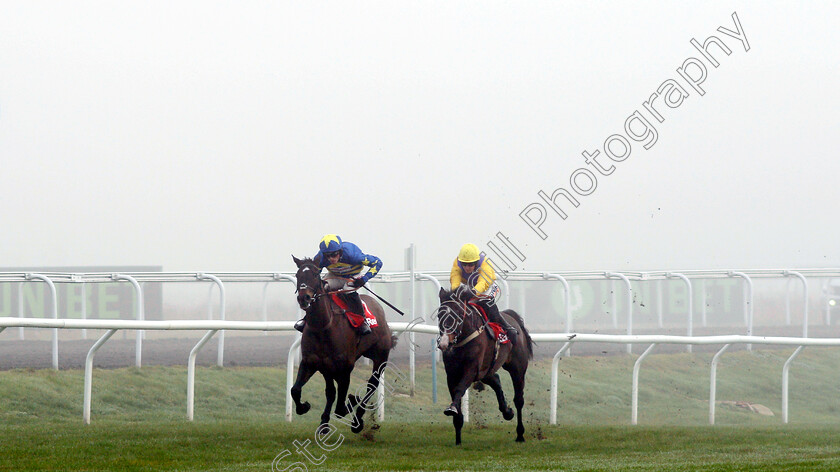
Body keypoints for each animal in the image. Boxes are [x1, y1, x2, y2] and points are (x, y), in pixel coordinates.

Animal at [290, 256, 396, 434]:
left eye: (315, 274)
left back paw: (358, 418)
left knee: (372, 384)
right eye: (298, 275)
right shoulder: (314, 363)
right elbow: (298, 390)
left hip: (381, 357)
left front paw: (353, 402)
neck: (324, 326)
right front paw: (309, 411)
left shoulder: (346, 367)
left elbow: (340, 407)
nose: (304, 298)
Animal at [436, 286, 536, 444]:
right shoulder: (452, 374)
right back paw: (507, 412)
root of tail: (512, 317)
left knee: (519, 399)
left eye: (457, 316)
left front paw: (451, 408)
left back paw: (520, 434)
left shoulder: (471, 370)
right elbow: (456, 399)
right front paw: (458, 440)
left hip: (518, 369)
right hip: (486, 370)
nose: (444, 343)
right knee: (496, 380)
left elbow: (460, 389)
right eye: (439, 316)